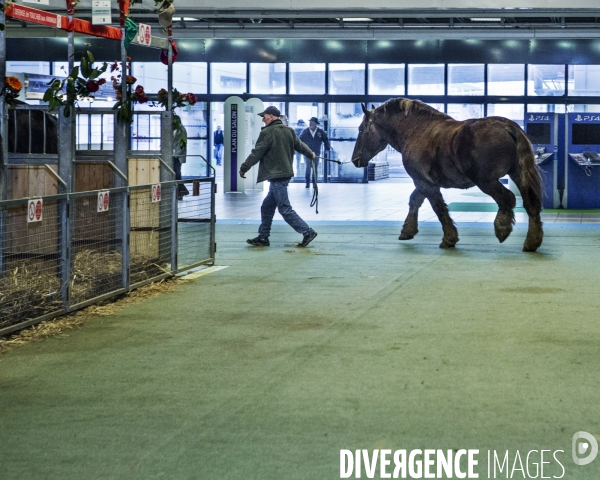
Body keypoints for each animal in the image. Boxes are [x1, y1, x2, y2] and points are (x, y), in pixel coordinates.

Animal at [352, 99, 544, 253]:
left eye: (361, 130)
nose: (355, 159)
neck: (416, 130)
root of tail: (507, 126)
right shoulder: (424, 182)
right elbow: (415, 200)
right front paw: (408, 230)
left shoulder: (423, 182)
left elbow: (438, 207)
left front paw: (449, 238)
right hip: (518, 175)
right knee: (531, 203)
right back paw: (532, 242)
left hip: (486, 181)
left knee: (507, 199)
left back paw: (502, 227)